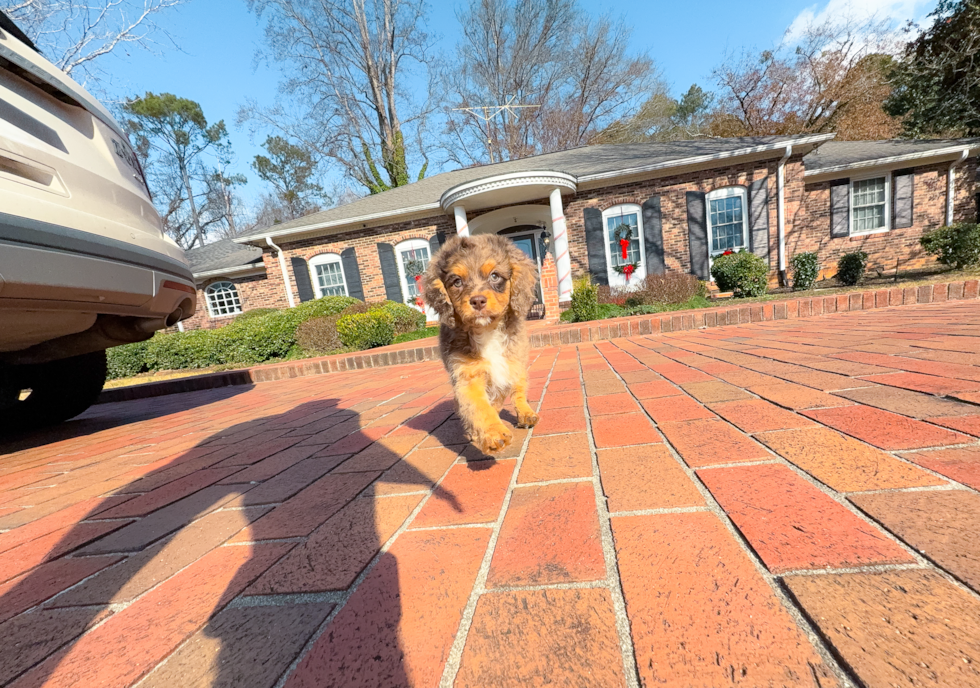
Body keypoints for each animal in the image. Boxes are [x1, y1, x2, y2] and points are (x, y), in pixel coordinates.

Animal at [424, 234, 540, 454]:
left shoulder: (508, 365)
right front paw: (493, 433)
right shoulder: (467, 375)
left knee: (519, 392)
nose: (477, 301)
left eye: (495, 276)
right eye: (457, 281)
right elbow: (479, 406)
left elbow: (509, 394)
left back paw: (526, 413)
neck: (487, 331)